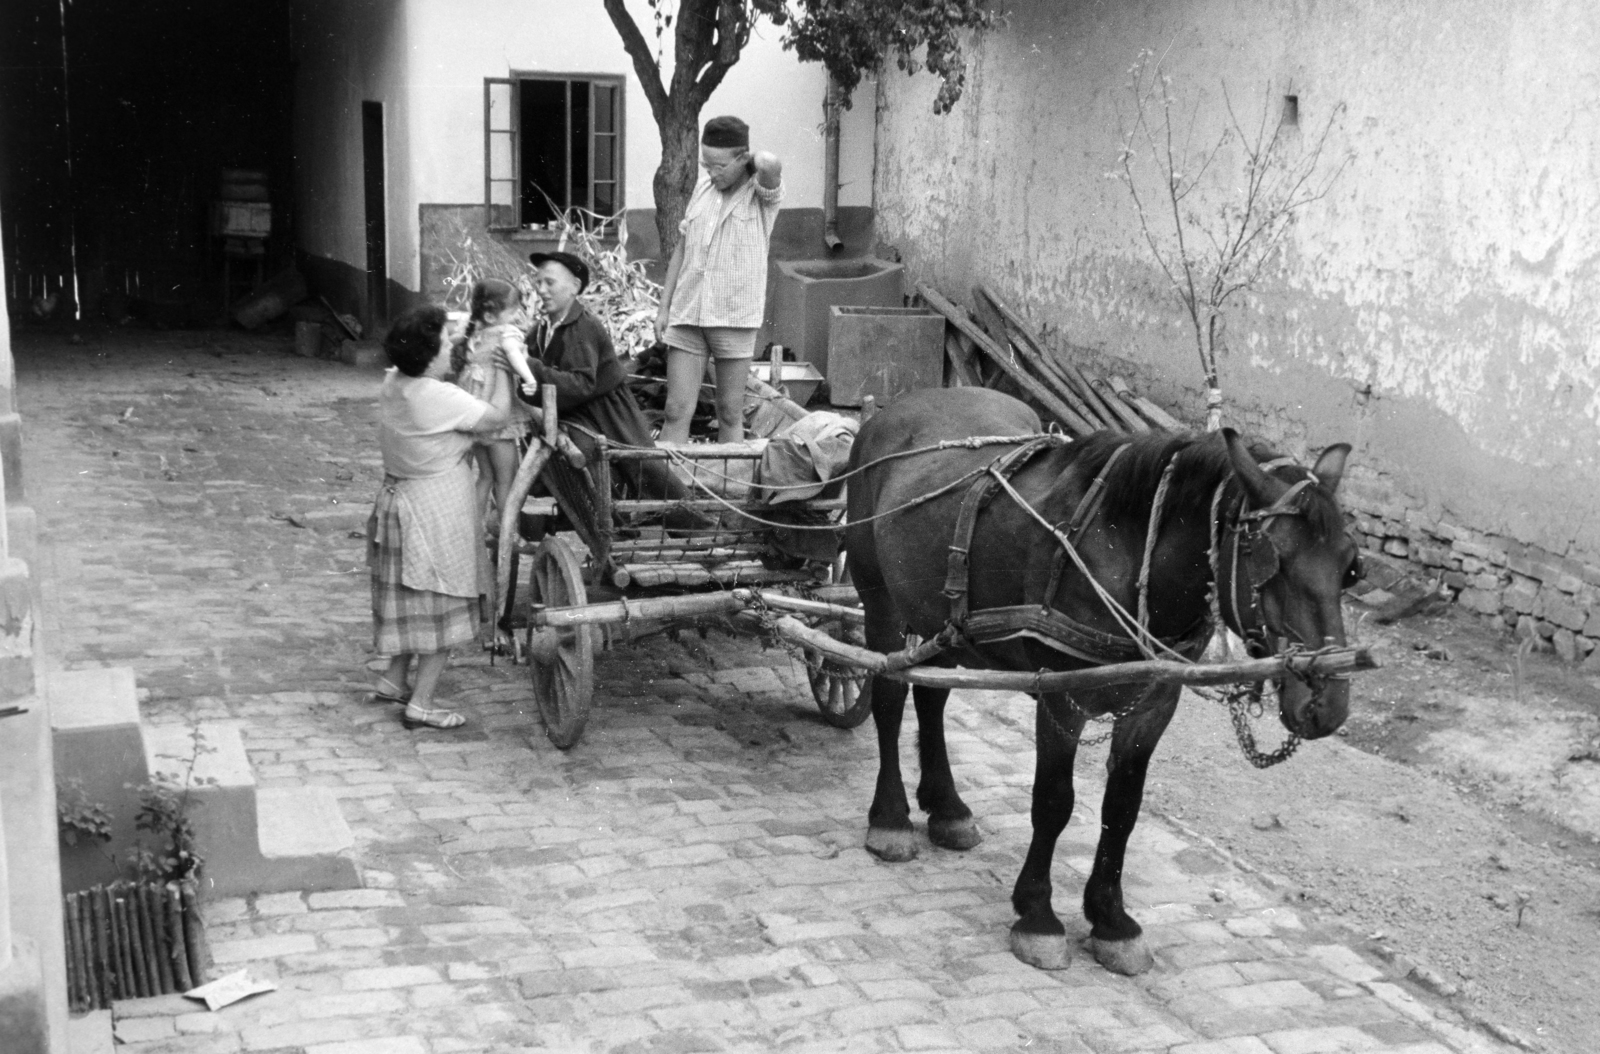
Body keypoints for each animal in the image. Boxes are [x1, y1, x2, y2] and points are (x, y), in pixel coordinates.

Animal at [844, 385, 1356, 972]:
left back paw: (947, 807)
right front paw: (1038, 916)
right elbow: (1053, 802)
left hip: (942, 618)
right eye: (1273, 557)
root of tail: (902, 405)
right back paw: (890, 819)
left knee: (933, 697)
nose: (1327, 702)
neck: (1124, 550)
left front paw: (1111, 920)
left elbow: (1123, 808)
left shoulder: (1155, 704)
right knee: (888, 699)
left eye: (1350, 566)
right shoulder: (1061, 699)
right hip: (880, 601)